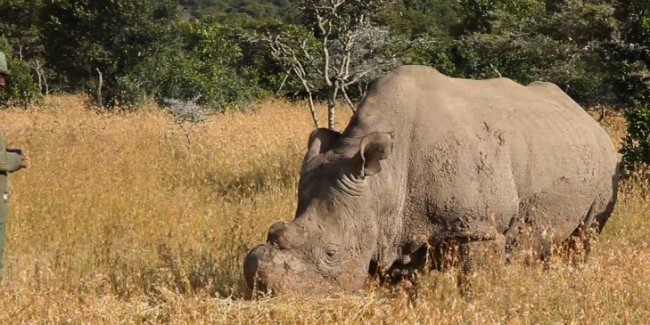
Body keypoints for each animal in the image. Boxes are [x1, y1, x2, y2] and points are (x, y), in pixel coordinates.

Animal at [242, 64, 616, 294]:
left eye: (332, 253)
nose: (266, 292)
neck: (384, 181)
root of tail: (587, 118)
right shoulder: (394, 227)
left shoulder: (479, 227)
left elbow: (475, 282)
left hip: (606, 165)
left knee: (585, 235)